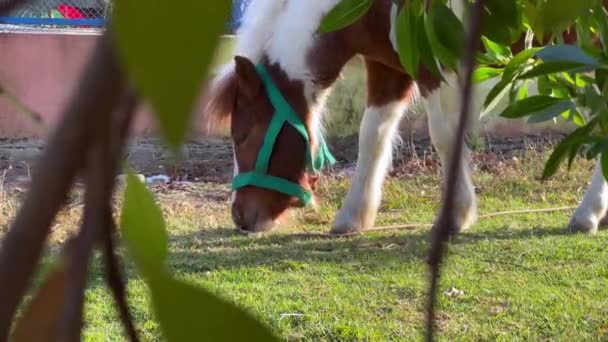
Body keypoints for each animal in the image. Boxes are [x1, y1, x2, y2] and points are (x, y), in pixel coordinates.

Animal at [201, 0, 608, 235]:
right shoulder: (387, 68)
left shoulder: (434, 62)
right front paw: (353, 216)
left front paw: (456, 215)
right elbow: (372, 135)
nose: (241, 217)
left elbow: (443, 137)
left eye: (243, 135)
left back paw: (587, 215)